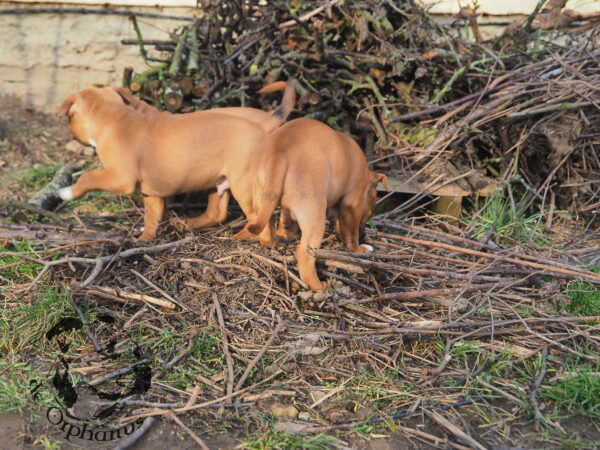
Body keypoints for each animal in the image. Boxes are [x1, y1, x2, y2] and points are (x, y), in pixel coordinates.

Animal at [56, 82, 296, 241]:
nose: (70, 133)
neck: (115, 117)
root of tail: (265, 123)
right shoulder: (151, 193)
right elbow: (152, 218)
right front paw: (144, 240)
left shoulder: (120, 179)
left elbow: (88, 177)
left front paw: (67, 192)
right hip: (218, 181)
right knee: (217, 213)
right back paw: (188, 224)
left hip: (243, 185)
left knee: (260, 219)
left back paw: (247, 237)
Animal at [230, 118, 390, 290]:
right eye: (367, 217)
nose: (364, 235)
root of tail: (279, 153)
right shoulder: (351, 204)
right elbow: (351, 234)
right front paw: (359, 249)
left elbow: (286, 222)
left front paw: (286, 235)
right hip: (314, 217)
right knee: (304, 255)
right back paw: (320, 287)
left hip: (261, 201)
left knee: (266, 235)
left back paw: (276, 242)